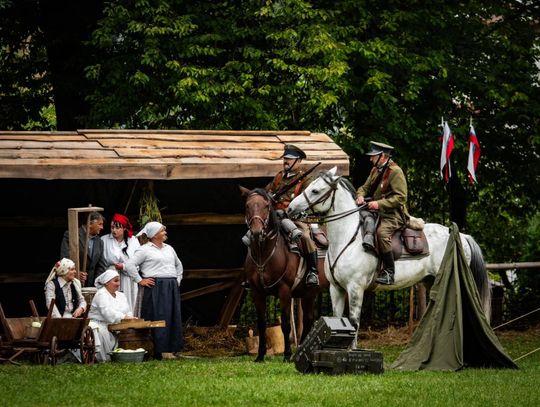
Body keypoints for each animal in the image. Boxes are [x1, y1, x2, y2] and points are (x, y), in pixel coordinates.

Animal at [242, 186, 330, 362]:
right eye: (248, 206)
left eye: (266, 206)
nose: (256, 232)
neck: (264, 253)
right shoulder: (257, 292)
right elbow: (261, 324)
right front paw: (260, 355)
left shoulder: (285, 291)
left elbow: (286, 324)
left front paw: (287, 355)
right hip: (309, 293)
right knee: (308, 319)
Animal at [288, 167, 492, 344]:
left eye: (315, 190)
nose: (290, 208)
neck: (347, 238)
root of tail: (462, 236)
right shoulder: (336, 289)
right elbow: (338, 319)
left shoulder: (355, 288)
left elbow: (354, 323)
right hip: (432, 281)